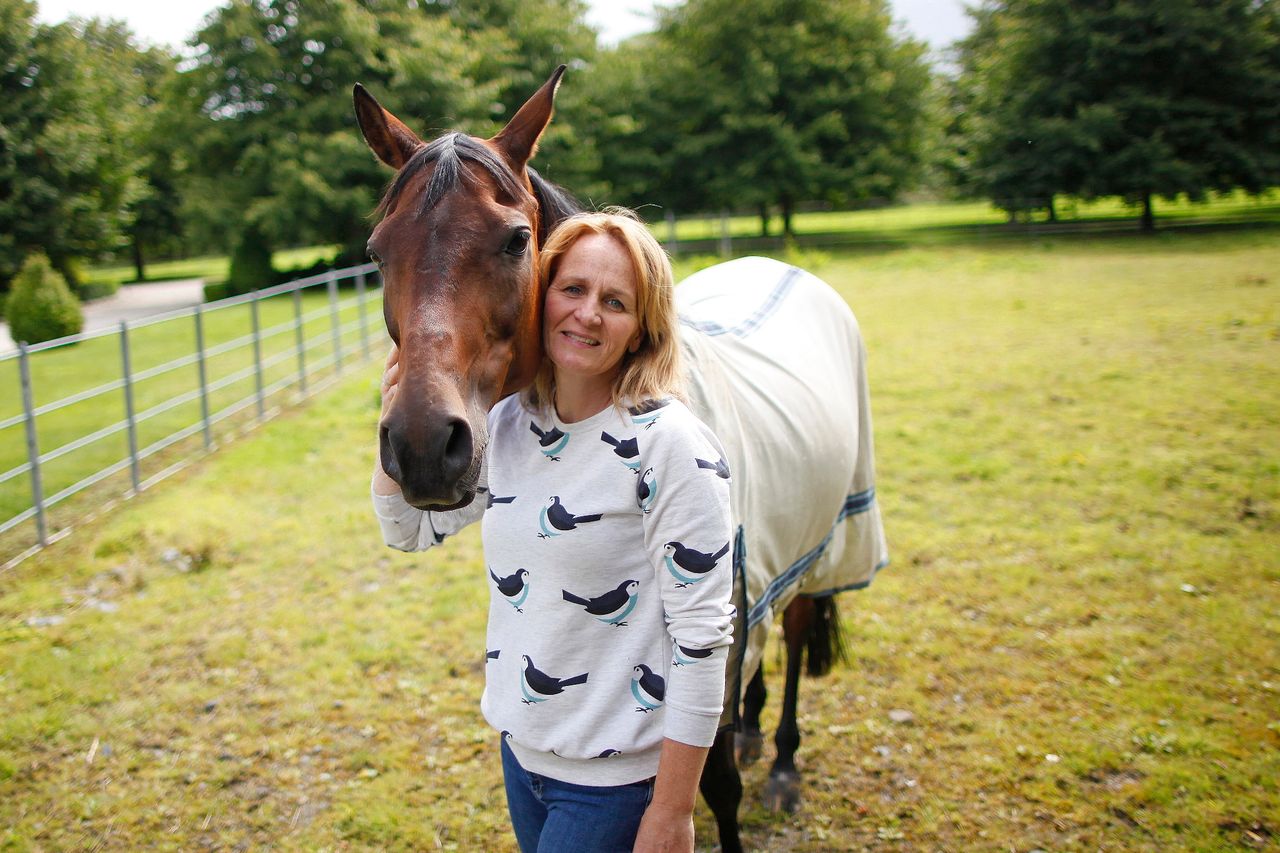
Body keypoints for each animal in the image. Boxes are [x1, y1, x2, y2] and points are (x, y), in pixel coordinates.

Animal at [353, 68, 890, 850]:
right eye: (376, 251)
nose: (423, 447)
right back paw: (756, 730)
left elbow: (713, 782)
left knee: (792, 632)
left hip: (827, 537)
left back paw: (786, 763)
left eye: (517, 239)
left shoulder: (711, 626)